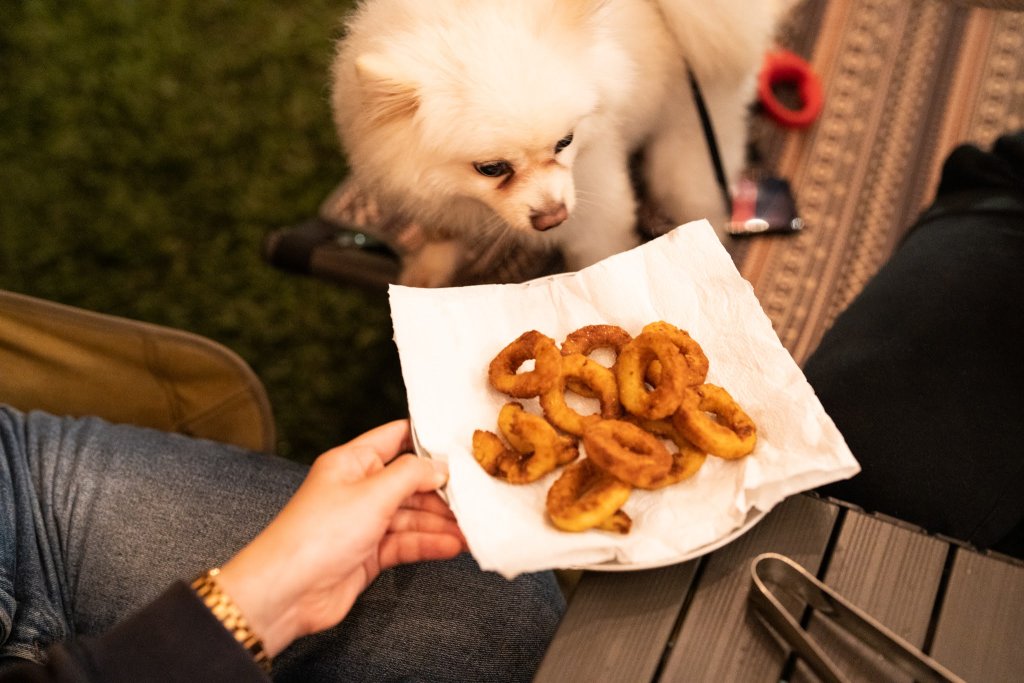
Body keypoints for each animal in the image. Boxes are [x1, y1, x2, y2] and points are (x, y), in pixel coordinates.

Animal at [331, 0, 786, 286]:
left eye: (565, 142)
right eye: (490, 169)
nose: (553, 218)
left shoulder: (597, 208)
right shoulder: (431, 194)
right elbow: (440, 236)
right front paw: (425, 274)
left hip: (688, 151)